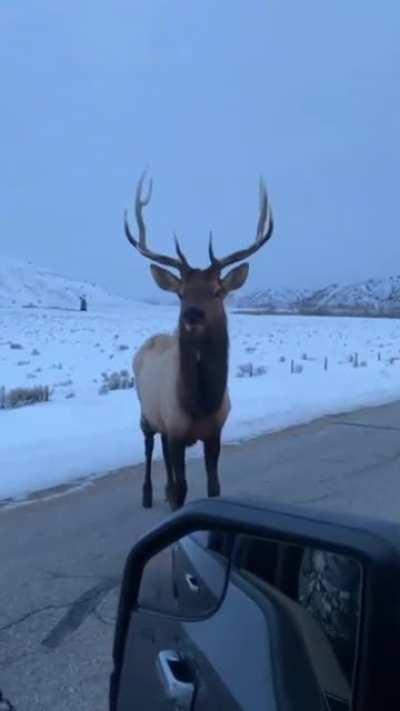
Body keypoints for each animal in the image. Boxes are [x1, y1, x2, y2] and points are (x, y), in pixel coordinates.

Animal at [124, 172, 274, 510]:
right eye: (181, 293)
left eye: (218, 291)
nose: (191, 315)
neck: (200, 403)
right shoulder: (177, 428)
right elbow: (183, 488)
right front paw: (173, 500)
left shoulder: (215, 431)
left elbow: (213, 486)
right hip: (146, 411)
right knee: (149, 446)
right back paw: (148, 494)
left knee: (162, 450)